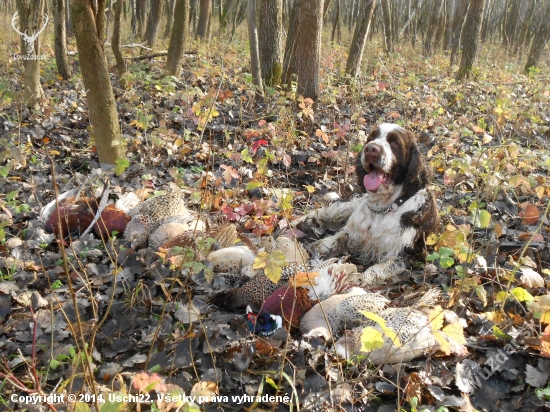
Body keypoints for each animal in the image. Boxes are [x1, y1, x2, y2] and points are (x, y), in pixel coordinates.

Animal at [298, 124, 440, 284]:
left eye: (395, 142)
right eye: (371, 138)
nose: (371, 149)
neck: (382, 208)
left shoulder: (403, 255)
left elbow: (374, 271)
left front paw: (358, 280)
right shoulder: (355, 233)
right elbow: (336, 238)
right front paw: (319, 247)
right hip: (350, 205)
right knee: (327, 211)